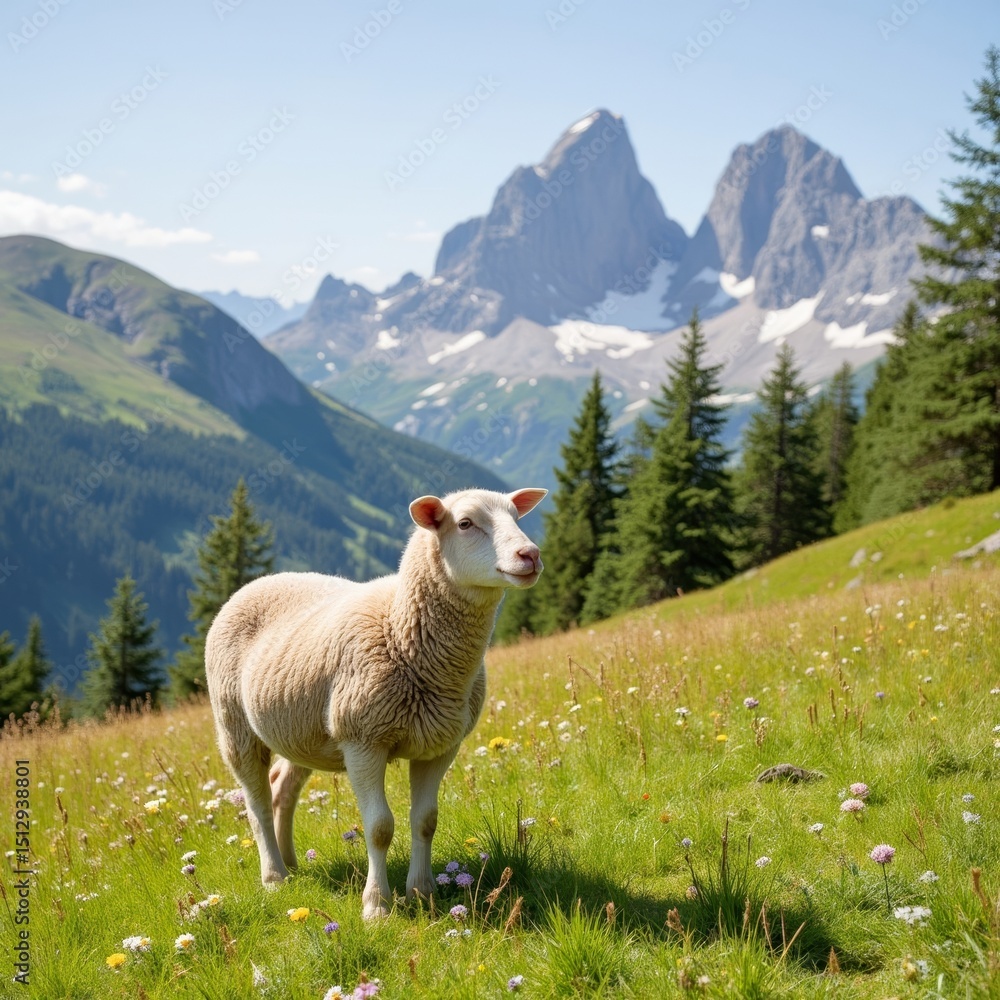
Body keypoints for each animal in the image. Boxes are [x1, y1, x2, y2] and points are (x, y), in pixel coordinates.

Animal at [205, 487, 546, 920]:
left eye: (516, 517)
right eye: (465, 523)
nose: (530, 555)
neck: (400, 630)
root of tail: (257, 583)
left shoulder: (440, 745)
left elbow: (426, 821)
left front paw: (422, 892)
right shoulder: (362, 741)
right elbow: (379, 827)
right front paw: (376, 906)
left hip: (303, 729)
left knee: (282, 788)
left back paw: (291, 863)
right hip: (235, 725)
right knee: (257, 801)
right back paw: (274, 877)